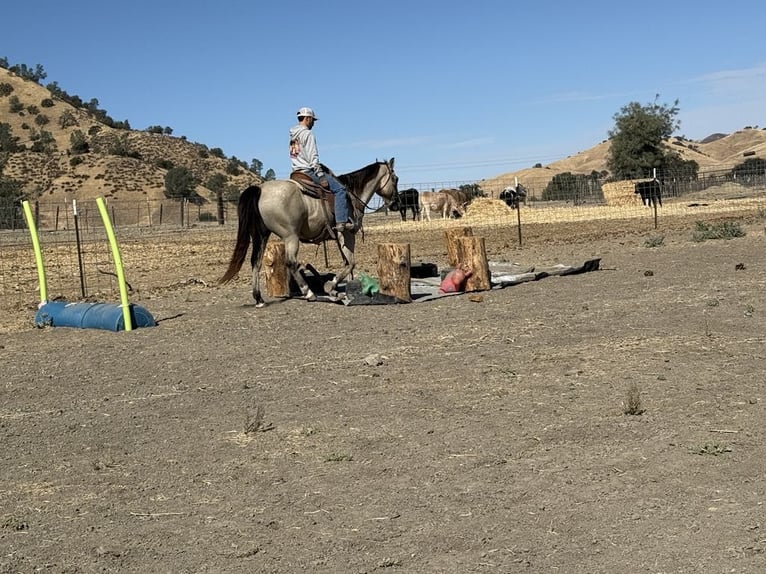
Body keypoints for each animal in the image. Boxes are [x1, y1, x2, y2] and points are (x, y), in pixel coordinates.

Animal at [219, 158, 400, 306]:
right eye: (396, 179)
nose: (396, 204)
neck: (352, 194)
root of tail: (260, 189)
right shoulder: (346, 233)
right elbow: (351, 262)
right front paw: (331, 286)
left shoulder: (341, 237)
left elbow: (347, 262)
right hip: (290, 236)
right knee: (291, 262)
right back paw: (309, 292)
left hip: (261, 235)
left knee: (255, 261)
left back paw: (259, 298)